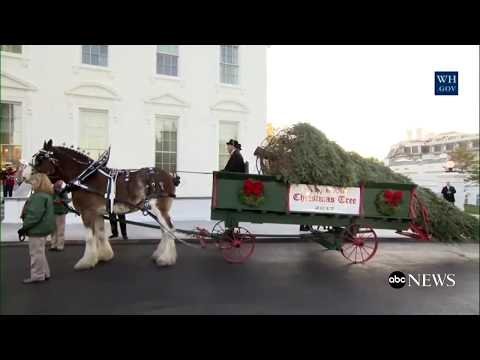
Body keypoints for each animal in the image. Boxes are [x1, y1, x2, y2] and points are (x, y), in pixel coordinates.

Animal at [21, 141, 181, 270]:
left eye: (39, 159)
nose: (24, 176)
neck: (85, 178)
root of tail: (170, 176)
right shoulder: (97, 213)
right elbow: (100, 233)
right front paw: (103, 255)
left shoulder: (87, 212)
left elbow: (90, 237)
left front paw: (86, 262)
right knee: (164, 230)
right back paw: (159, 255)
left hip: (160, 208)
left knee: (169, 229)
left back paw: (166, 259)